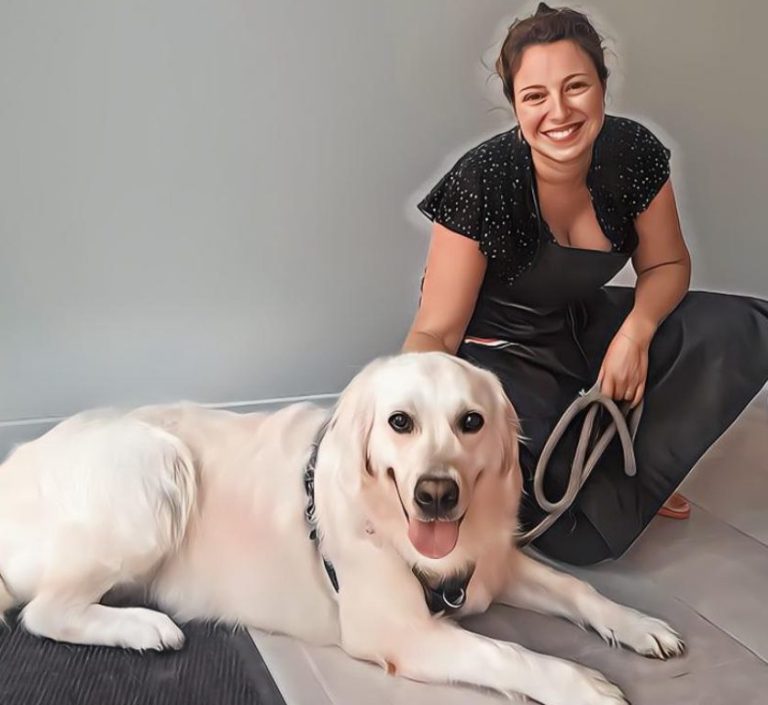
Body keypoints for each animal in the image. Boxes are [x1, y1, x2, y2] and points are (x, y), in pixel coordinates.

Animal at [0, 354, 684, 700]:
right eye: (400, 421)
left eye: (471, 421)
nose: (437, 495)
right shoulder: (404, 633)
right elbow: (510, 652)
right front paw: (584, 685)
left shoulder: (490, 565)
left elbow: (578, 589)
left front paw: (640, 624)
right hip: (156, 463)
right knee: (44, 612)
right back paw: (144, 628)